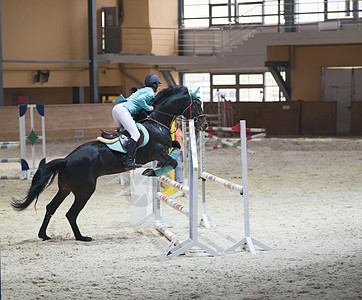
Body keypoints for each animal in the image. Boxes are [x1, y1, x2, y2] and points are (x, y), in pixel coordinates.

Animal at [12, 85, 206, 241]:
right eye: (197, 103)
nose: (203, 124)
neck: (157, 122)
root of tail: (66, 160)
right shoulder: (157, 151)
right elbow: (172, 162)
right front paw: (152, 172)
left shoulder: (164, 148)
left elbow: (177, 146)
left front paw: (156, 169)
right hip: (85, 190)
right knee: (71, 213)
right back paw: (81, 237)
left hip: (65, 188)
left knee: (51, 207)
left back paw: (44, 235)